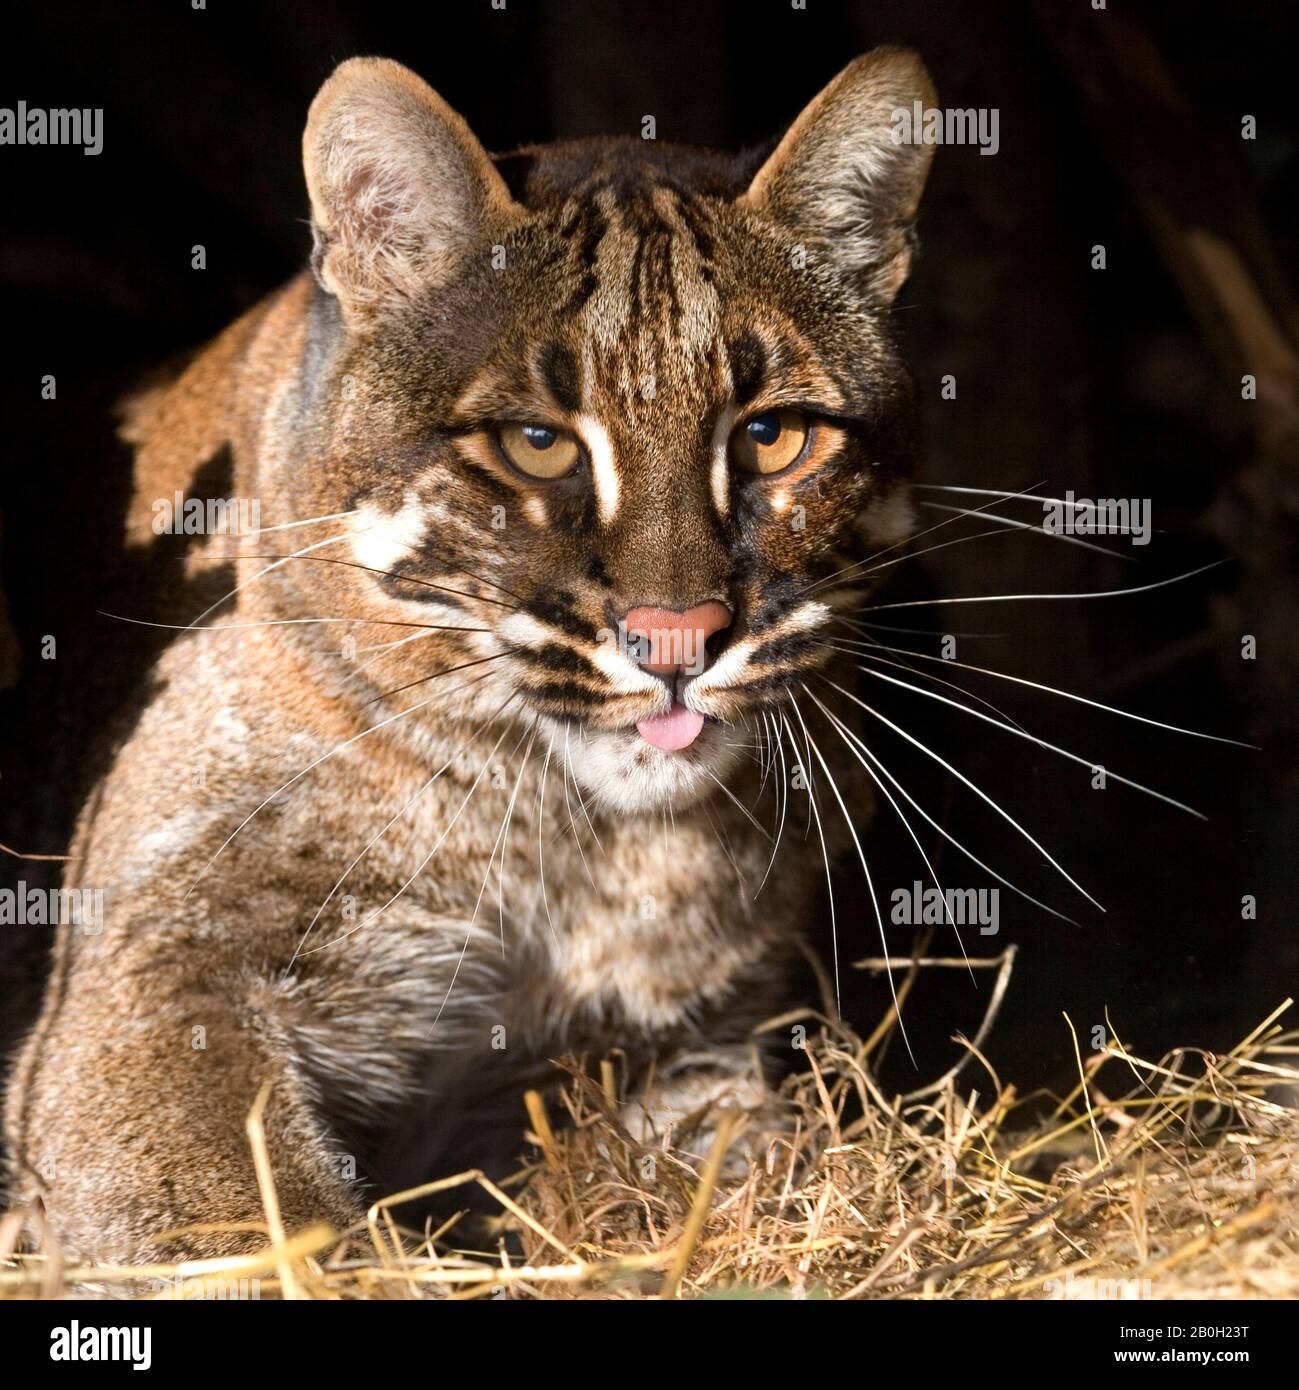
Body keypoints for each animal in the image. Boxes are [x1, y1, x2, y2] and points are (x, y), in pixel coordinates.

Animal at [5, 48, 950, 1256]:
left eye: (773, 436)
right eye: (535, 443)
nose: (678, 641)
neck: (573, 838)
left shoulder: (691, 1030)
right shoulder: (163, 979)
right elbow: (256, 1222)